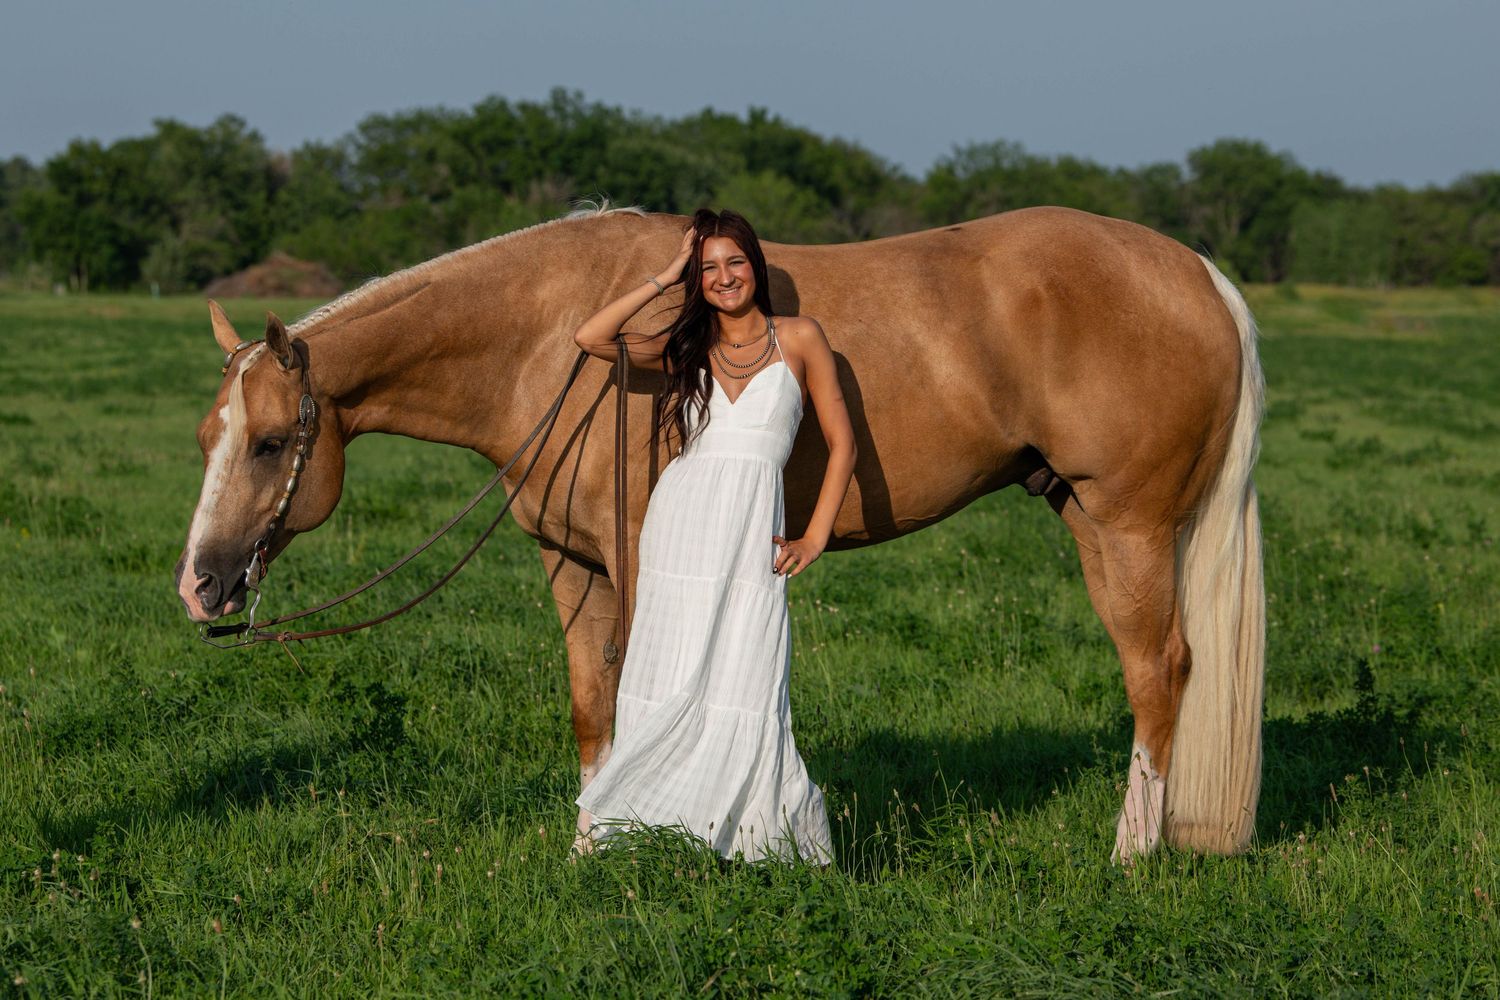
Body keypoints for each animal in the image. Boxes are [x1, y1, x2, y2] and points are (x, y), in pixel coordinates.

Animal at [174, 205, 1264, 861]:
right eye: (206, 438)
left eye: (270, 443)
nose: (201, 586)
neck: (555, 336)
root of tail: (1199, 272)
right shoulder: (572, 563)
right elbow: (593, 707)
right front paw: (588, 846)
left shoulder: (636, 555)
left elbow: (642, 698)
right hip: (1088, 518)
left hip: (1127, 525)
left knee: (1158, 669)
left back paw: (1130, 852)